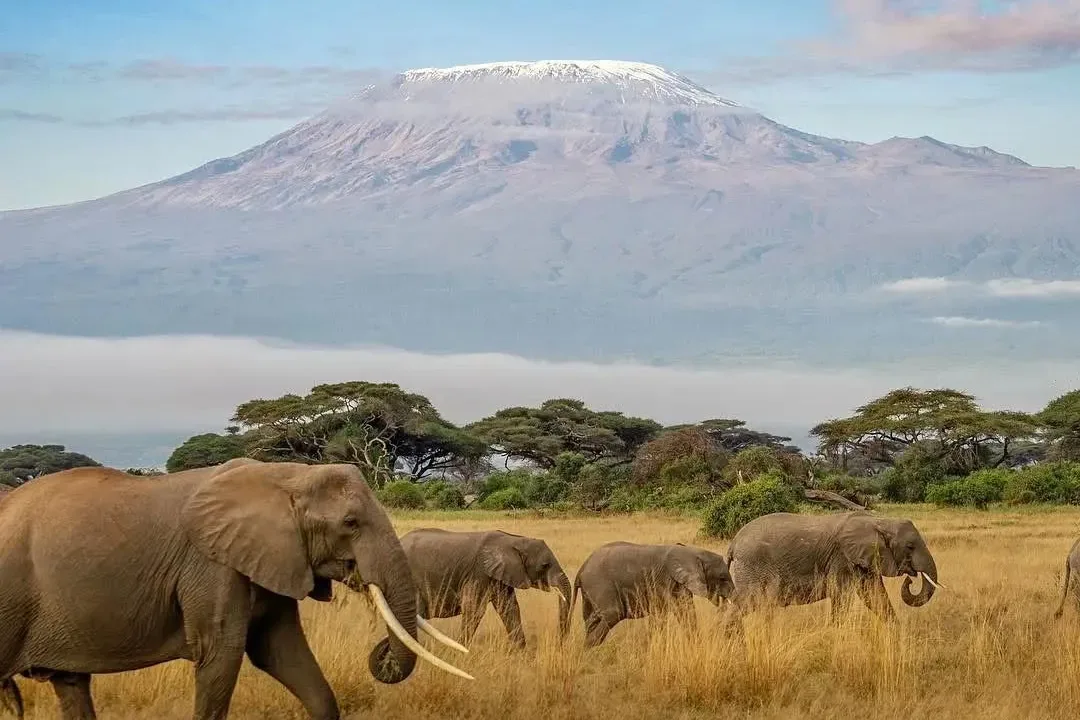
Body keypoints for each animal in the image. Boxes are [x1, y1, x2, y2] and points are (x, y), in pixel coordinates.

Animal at [0, 458, 471, 720]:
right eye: (350, 523)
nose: (380, 650)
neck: (286, 475)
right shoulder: (211, 564)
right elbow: (221, 653)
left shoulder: (274, 558)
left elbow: (281, 652)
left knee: (71, 685)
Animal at [389, 528, 572, 649]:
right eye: (544, 566)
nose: (560, 644)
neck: (514, 540)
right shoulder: (478, 573)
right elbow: (474, 609)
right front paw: (461, 650)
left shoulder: (500, 575)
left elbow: (509, 608)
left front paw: (522, 652)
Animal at [571, 541, 735, 647]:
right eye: (722, 578)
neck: (692, 552)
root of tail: (581, 569)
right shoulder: (662, 581)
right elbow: (666, 612)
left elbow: (685, 610)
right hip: (600, 583)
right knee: (613, 613)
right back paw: (589, 648)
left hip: (590, 590)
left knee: (591, 619)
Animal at [726, 511, 941, 621]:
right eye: (910, 546)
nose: (910, 579)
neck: (878, 521)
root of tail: (733, 543)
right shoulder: (842, 559)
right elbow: (841, 597)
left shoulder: (864, 561)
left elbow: (875, 595)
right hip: (752, 567)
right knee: (745, 604)